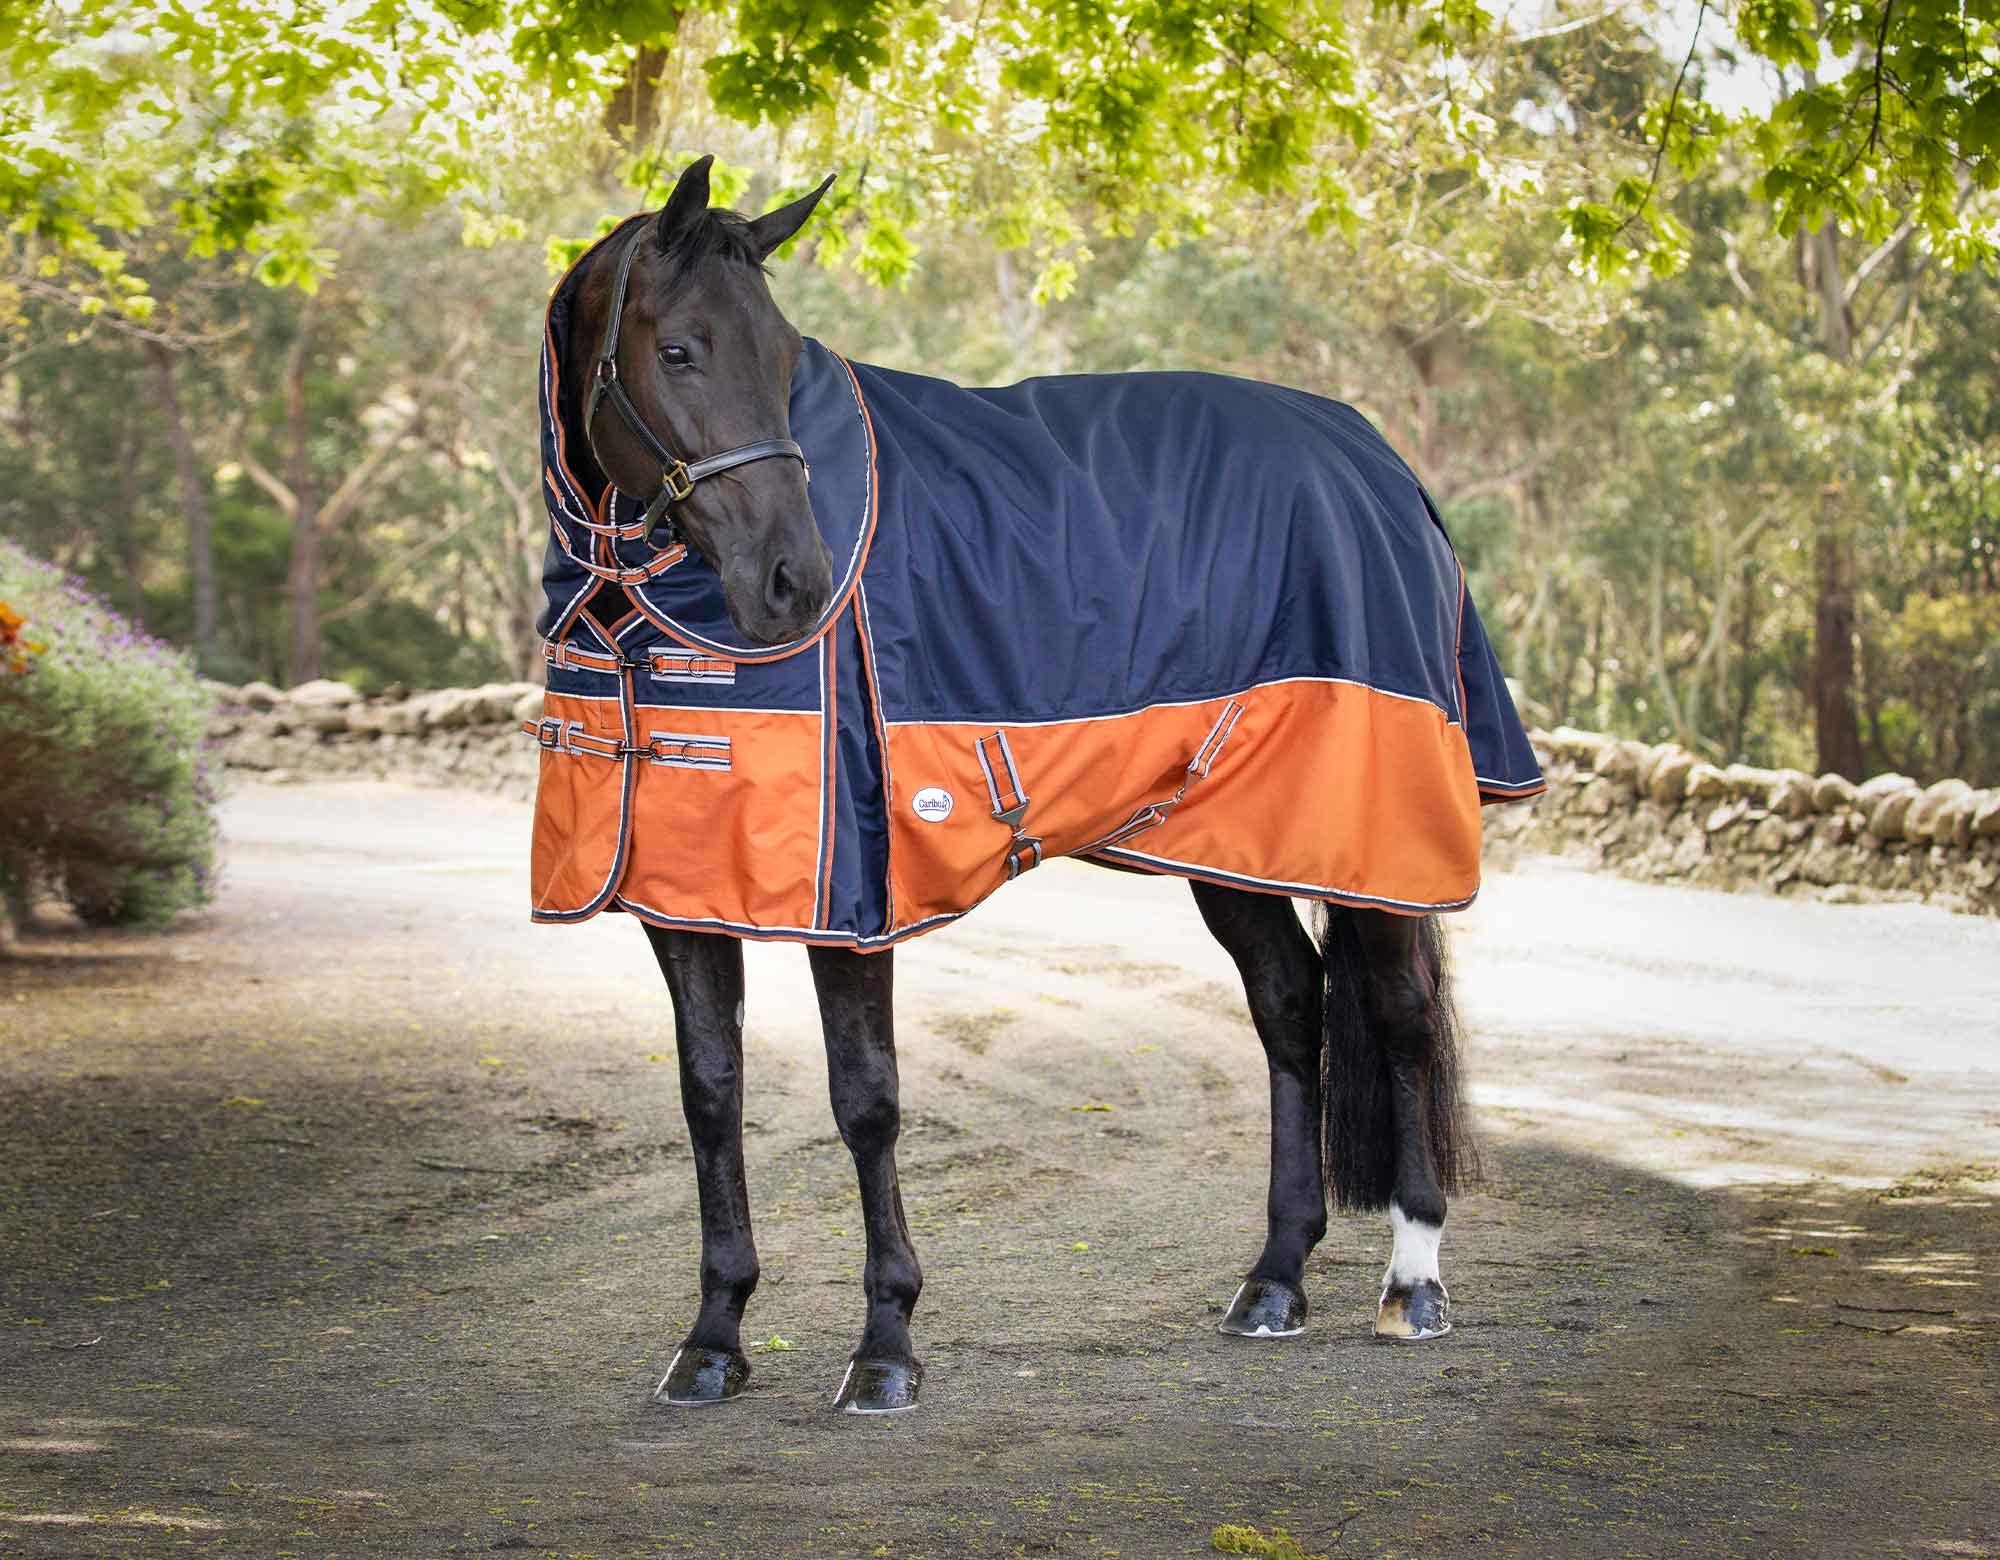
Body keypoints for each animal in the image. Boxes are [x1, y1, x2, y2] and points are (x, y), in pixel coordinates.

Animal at [524, 156, 1544, 1415]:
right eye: (680, 350)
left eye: (784, 352)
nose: (791, 582)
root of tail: (1378, 461)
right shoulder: (680, 892)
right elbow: (710, 1093)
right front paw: (713, 1337)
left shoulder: (852, 902)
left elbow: (865, 1100)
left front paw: (885, 1349)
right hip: (1232, 845)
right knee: (1288, 1007)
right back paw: (1273, 1280)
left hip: (1370, 834)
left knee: (1396, 1016)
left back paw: (1412, 1281)